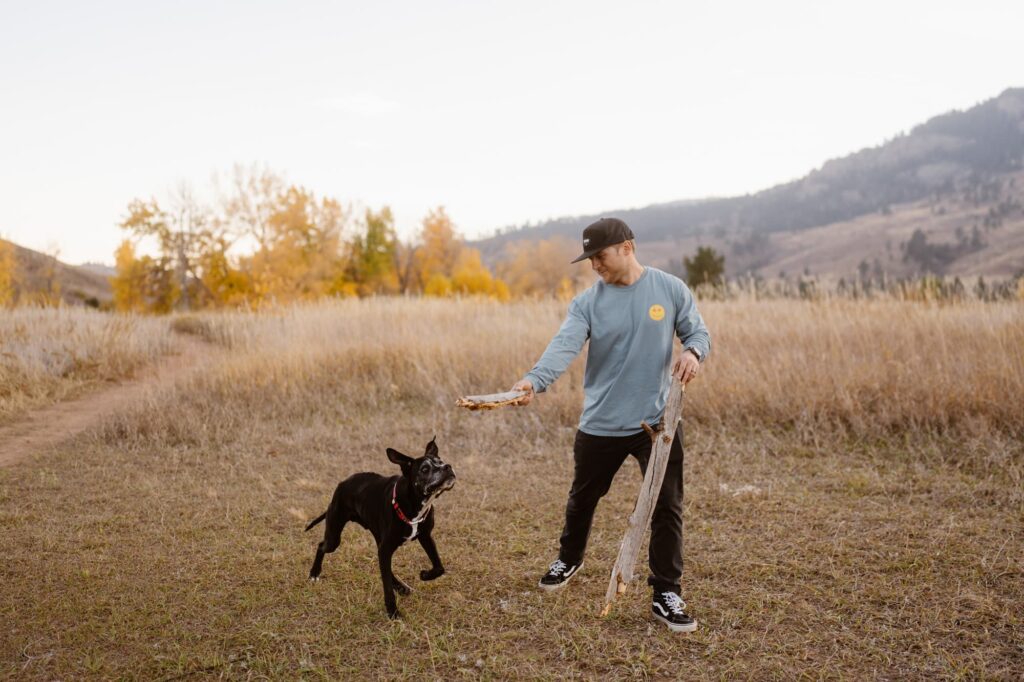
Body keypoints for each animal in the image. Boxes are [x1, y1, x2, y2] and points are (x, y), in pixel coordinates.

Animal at [303, 438, 456, 618]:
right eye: (425, 469)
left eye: (441, 461)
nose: (448, 467)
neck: (414, 503)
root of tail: (342, 483)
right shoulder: (387, 547)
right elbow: (387, 586)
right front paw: (392, 612)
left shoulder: (425, 536)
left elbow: (439, 567)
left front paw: (425, 575)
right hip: (334, 536)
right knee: (321, 545)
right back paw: (314, 573)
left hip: (377, 538)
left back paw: (401, 587)